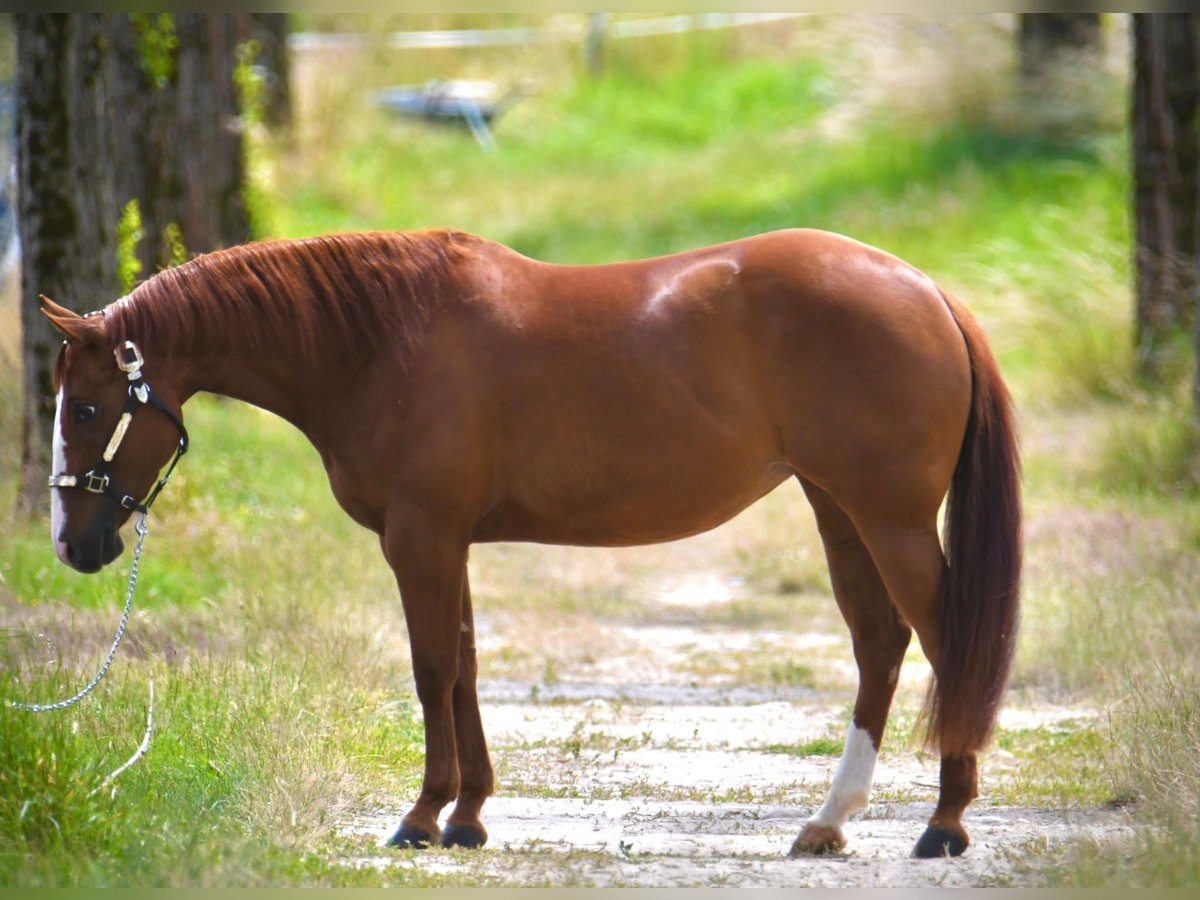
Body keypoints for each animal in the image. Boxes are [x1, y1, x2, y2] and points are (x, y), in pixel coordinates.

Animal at [41, 227, 1021, 859]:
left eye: (84, 408)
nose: (72, 545)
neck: (382, 340)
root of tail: (925, 289)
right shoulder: (449, 541)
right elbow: (467, 664)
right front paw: (469, 816)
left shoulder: (421, 538)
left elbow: (433, 666)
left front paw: (422, 816)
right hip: (838, 510)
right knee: (880, 644)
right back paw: (829, 822)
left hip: (888, 519)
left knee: (946, 643)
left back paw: (944, 825)